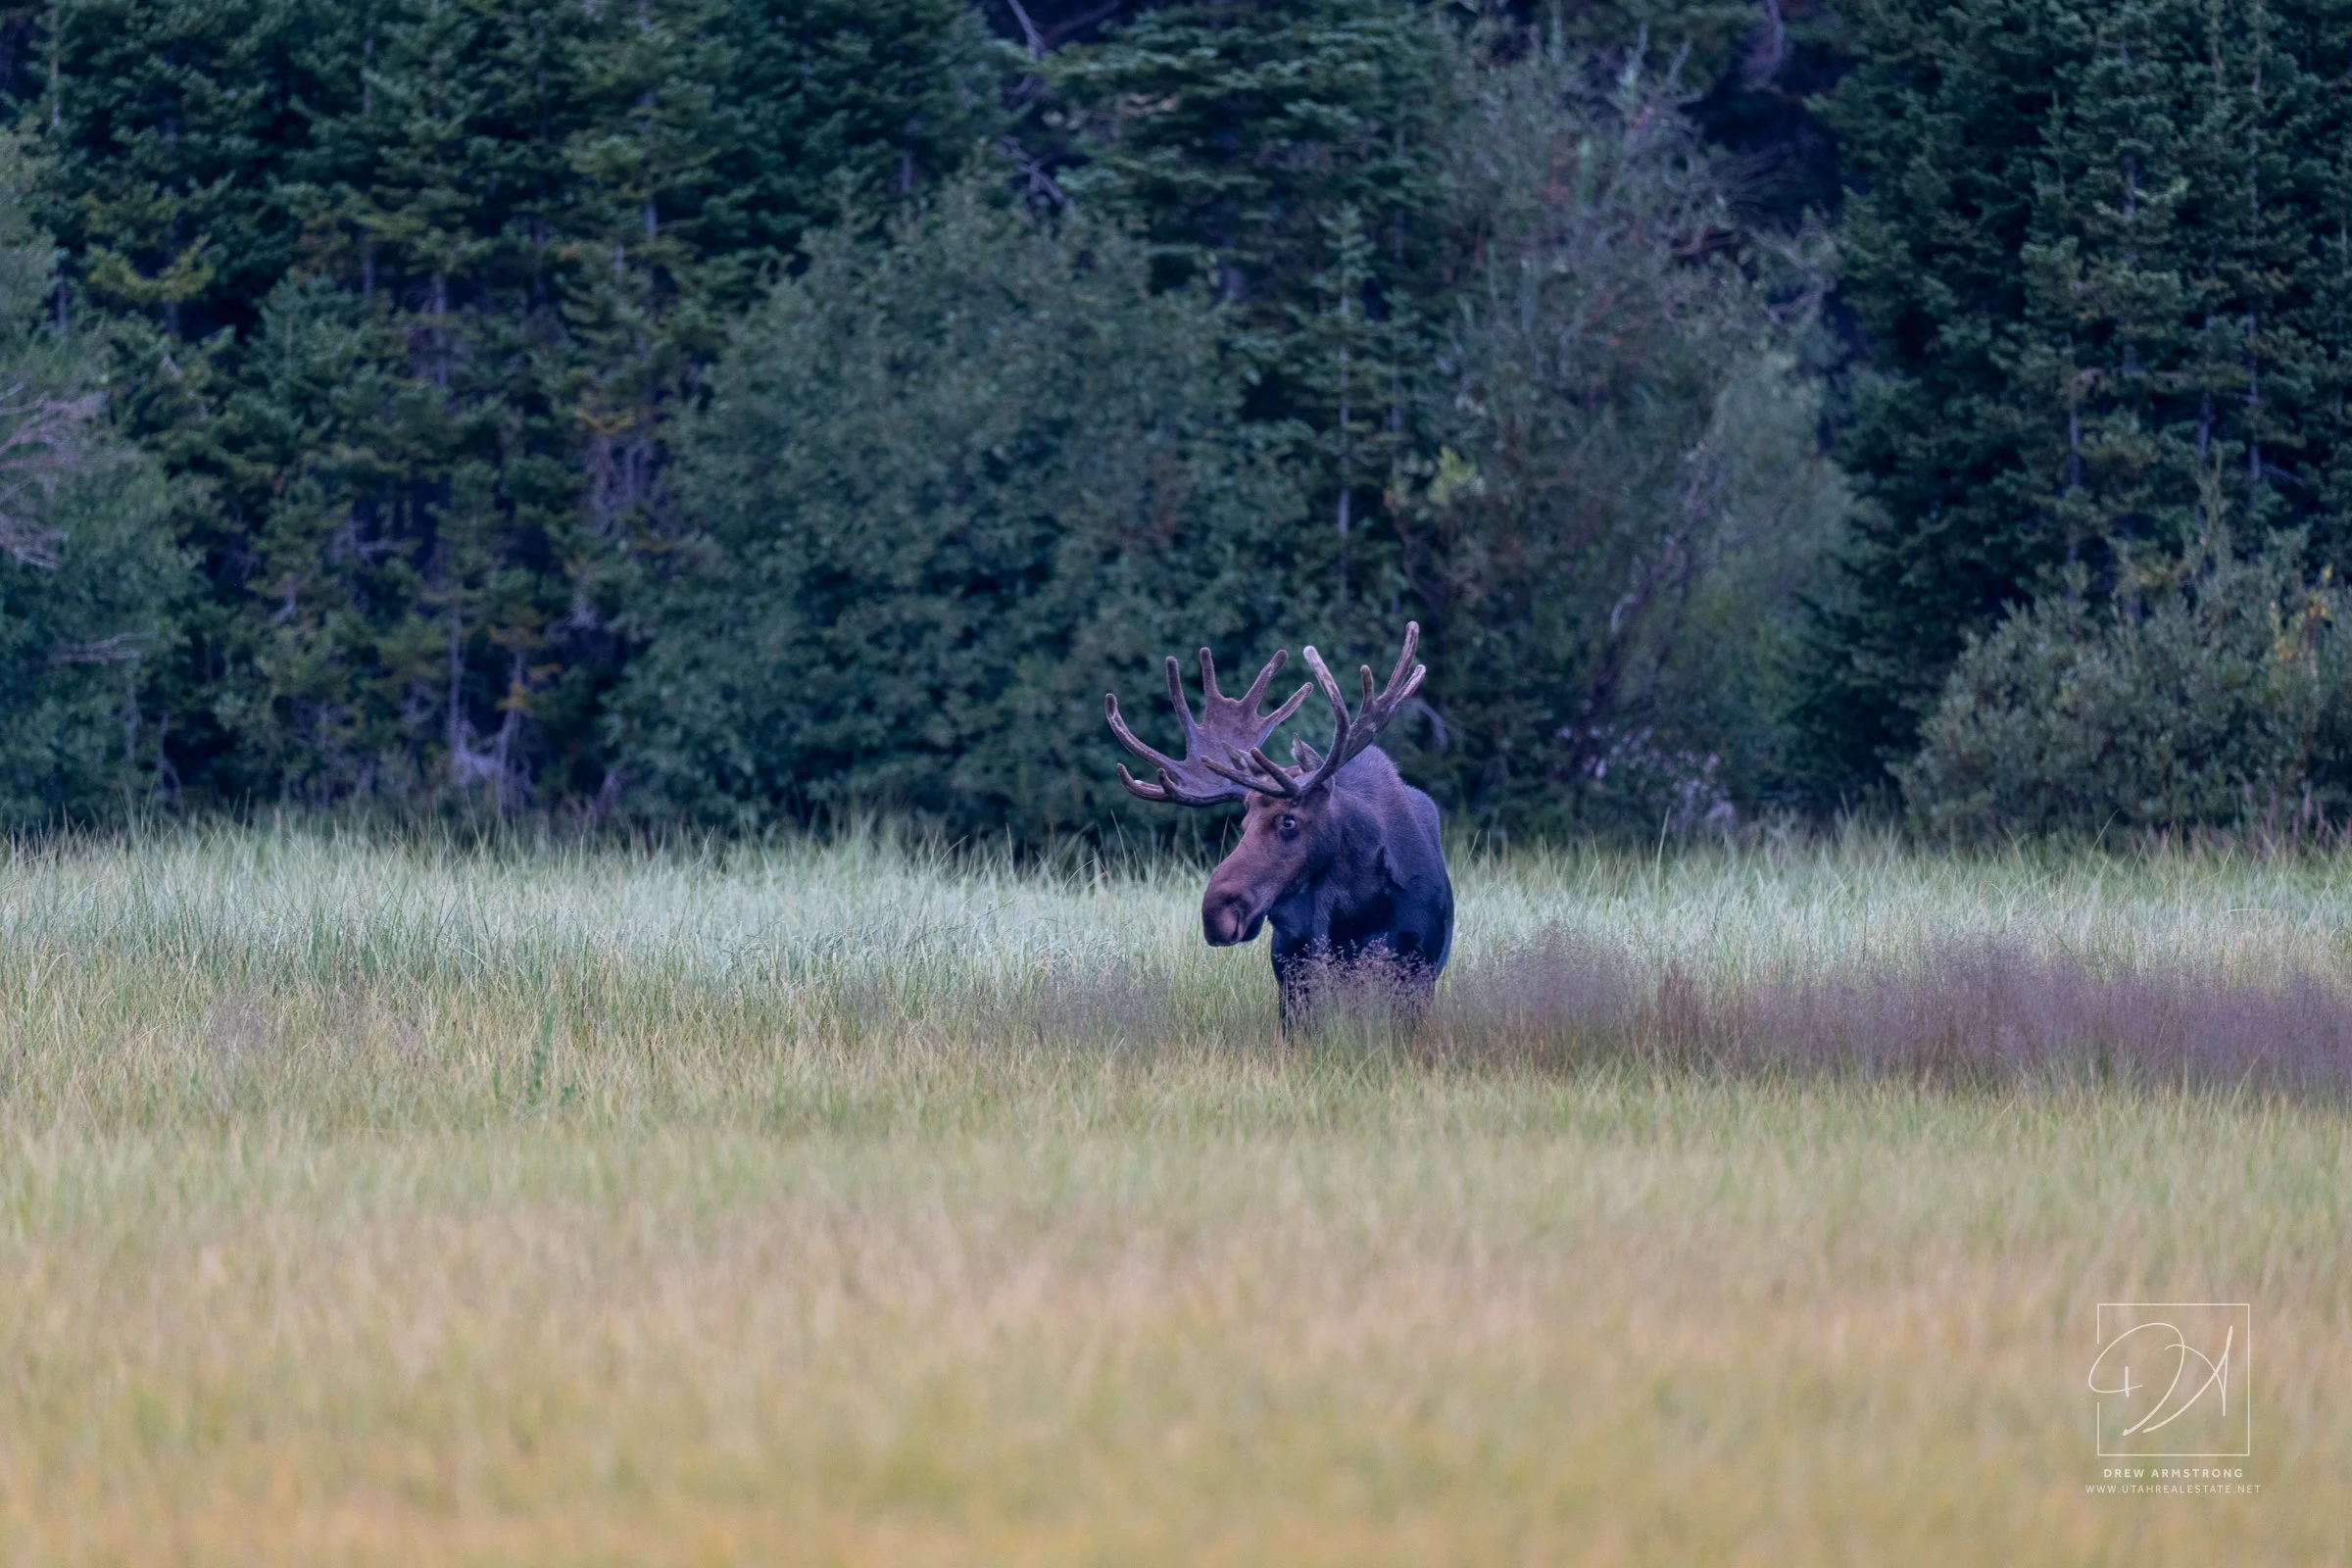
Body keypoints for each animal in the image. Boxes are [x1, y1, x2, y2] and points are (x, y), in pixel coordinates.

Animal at [1106, 623, 1453, 1024]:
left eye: (1288, 821)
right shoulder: (1295, 977)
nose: (1215, 912)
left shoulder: (1418, 970)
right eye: (1243, 822)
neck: (1358, 909)